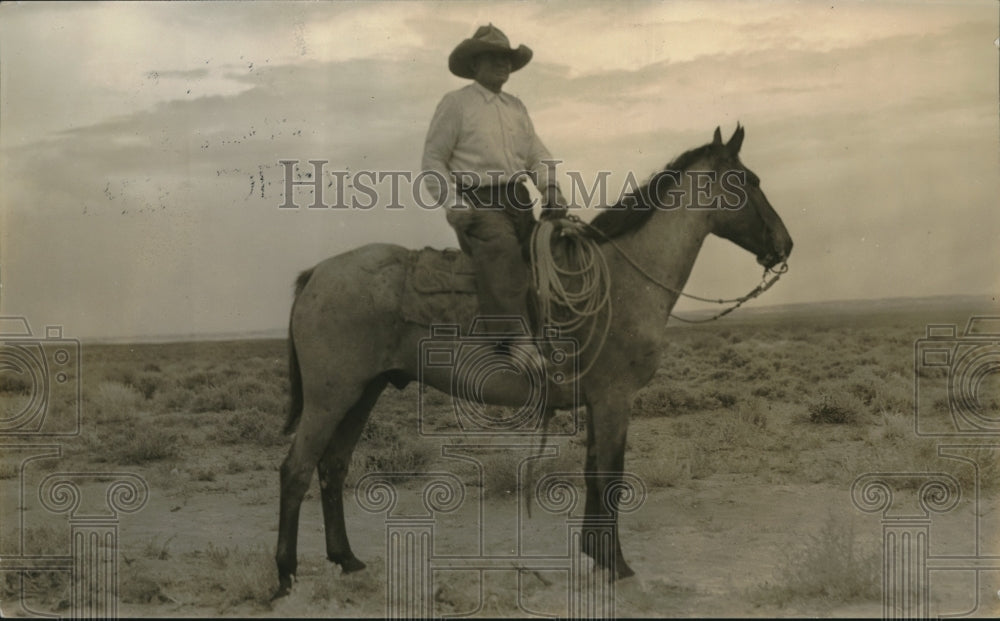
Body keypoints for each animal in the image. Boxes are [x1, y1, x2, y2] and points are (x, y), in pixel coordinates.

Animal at [272, 122, 788, 596]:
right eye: (749, 181)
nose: (785, 245)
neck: (621, 280)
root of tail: (318, 273)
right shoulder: (615, 399)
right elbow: (611, 476)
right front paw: (617, 565)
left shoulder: (598, 402)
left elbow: (593, 473)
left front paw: (595, 555)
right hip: (330, 397)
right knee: (296, 470)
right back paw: (285, 575)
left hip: (363, 392)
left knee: (333, 466)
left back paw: (347, 560)